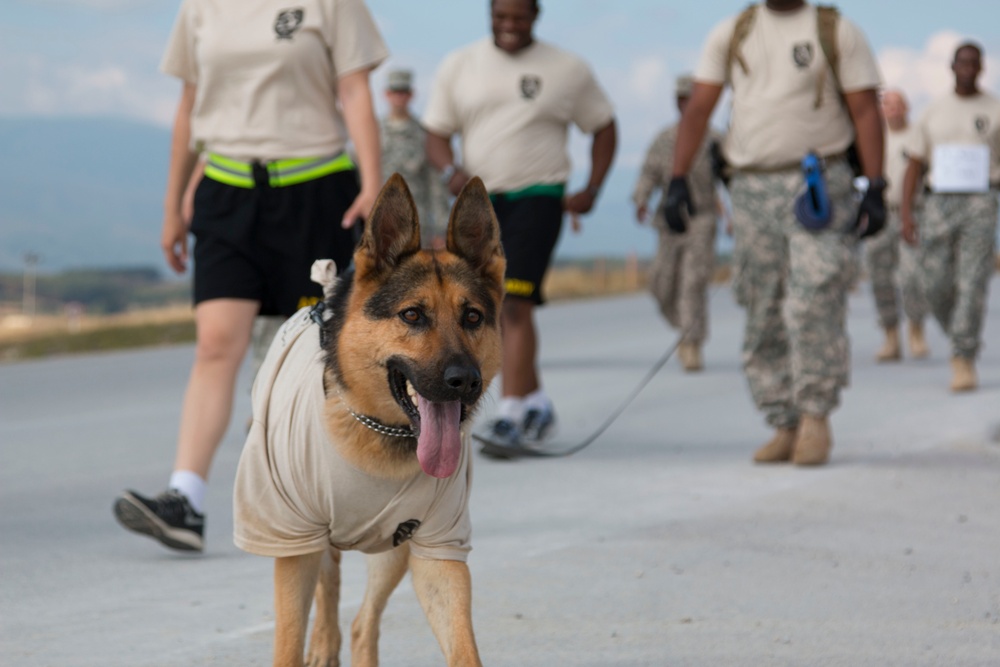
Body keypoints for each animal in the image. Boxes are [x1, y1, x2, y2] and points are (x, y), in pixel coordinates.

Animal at [230, 175, 504, 664]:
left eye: (472, 317)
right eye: (412, 315)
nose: (465, 382)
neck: (376, 431)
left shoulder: (439, 550)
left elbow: (463, 647)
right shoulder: (293, 541)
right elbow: (289, 641)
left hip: (391, 550)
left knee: (362, 623)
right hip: (316, 539)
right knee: (330, 585)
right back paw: (324, 642)